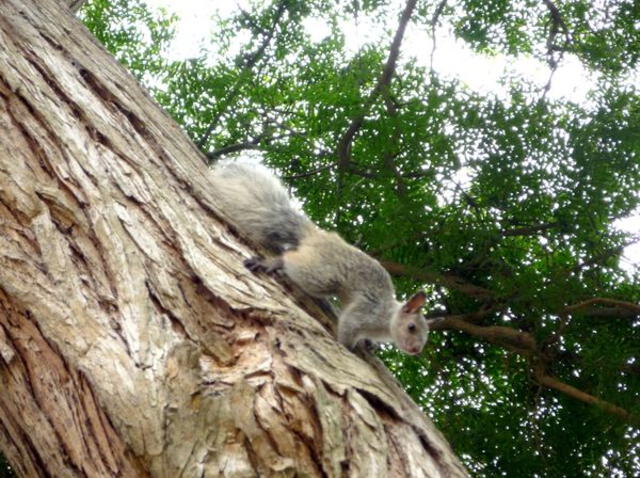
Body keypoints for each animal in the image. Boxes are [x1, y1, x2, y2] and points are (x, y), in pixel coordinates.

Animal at [210, 160, 436, 354]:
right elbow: (347, 327)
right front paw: (348, 347)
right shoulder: (364, 313)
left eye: (425, 336)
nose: (416, 350)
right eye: (411, 327)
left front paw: (370, 344)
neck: (386, 318)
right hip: (322, 275)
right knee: (291, 259)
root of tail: (315, 236)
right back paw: (272, 262)